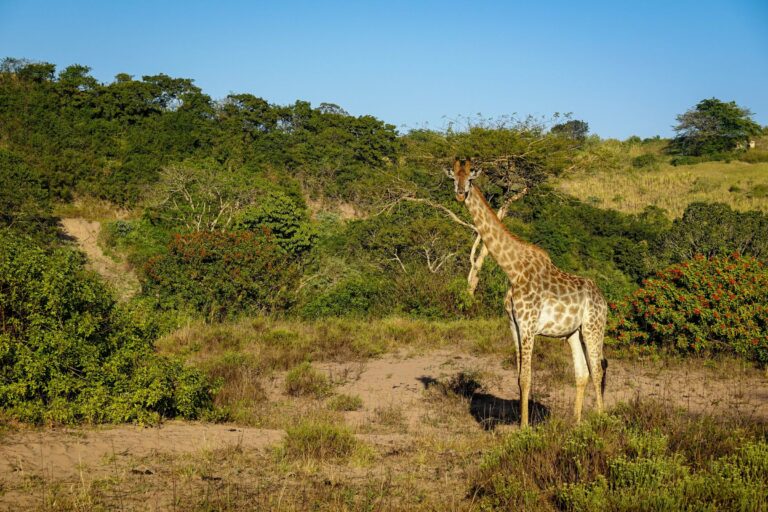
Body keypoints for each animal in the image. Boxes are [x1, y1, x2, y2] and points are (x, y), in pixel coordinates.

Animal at [446, 157, 607, 426]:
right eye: (453, 177)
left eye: (470, 178)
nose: (460, 193)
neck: (513, 270)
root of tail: (604, 300)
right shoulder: (514, 325)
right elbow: (519, 377)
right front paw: (523, 424)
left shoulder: (529, 326)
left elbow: (527, 378)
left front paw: (524, 429)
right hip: (573, 332)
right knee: (582, 372)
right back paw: (576, 423)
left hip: (593, 327)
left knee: (597, 370)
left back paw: (602, 420)